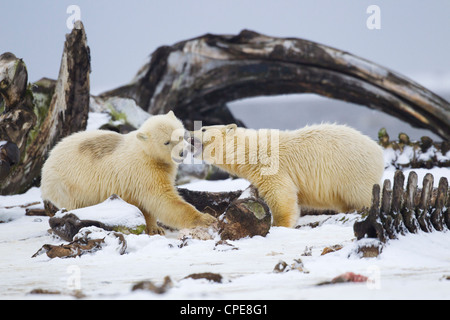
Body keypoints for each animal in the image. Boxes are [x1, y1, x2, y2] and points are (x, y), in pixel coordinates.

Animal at [41, 110, 217, 235]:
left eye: (181, 135)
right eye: (167, 142)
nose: (182, 152)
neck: (146, 152)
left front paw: (155, 228)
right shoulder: (145, 170)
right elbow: (162, 198)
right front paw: (205, 219)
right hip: (68, 185)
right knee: (76, 204)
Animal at [192, 123, 384, 228]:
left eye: (203, 128)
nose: (188, 133)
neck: (249, 150)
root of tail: (379, 151)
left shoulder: (271, 166)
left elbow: (281, 195)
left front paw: (279, 224)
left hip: (353, 171)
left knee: (362, 194)